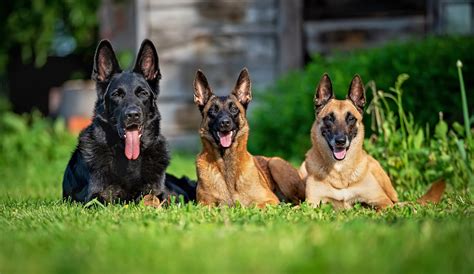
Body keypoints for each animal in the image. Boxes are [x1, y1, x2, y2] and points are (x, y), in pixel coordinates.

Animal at [194, 69, 306, 208]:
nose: (224, 123)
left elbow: (255, 205)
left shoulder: (270, 200)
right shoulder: (204, 205)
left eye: (234, 109)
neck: (226, 162)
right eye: (213, 110)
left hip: (276, 163)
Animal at [300, 74, 444, 209]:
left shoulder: (383, 201)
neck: (341, 172)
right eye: (329, 118)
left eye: (351, 119)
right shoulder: (311, 204)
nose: (340, 141)